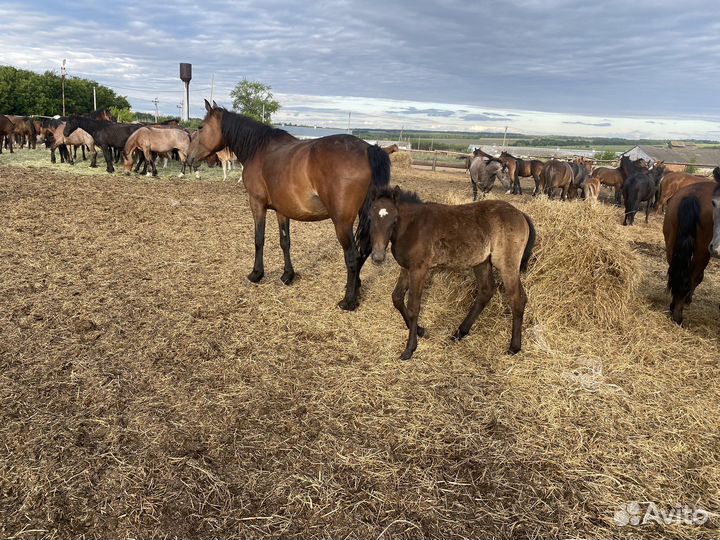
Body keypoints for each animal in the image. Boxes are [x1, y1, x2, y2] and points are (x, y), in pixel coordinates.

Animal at [186, 99, 391, 310]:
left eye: (200, 127)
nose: (189, 158)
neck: (259, 150)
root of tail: (368, 149)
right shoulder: (281, 210)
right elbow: (285, 241)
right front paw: (287, 275)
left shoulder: (256, 203)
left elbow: (259, 239)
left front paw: (256, 273)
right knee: (364, 251)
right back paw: (356, 287)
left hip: (342, 222)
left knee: (352, 256)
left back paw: (348, 300)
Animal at [369, 186, 535, 359]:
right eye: (370, 218)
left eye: (394, 220)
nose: (378, 257)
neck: (412, 226)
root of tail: (521, 214)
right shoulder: (406, 268)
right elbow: (397, 298)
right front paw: (420, 331)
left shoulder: (419, 269)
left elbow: (414, 307)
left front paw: (410, 349)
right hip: (482, 262)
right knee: (486, 291)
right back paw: (460, 332)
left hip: (507, 264)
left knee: (518, 299)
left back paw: (514, 347)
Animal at [663, 167, 720, 324]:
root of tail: (693, 195)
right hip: (703, 251)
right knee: (692, 275)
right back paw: (678, 313)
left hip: (671, 241)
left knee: (677, 270)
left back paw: (675, 304)